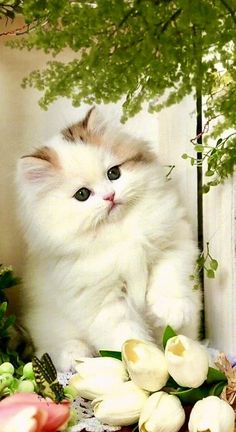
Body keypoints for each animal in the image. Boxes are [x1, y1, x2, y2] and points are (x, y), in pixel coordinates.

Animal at [16, 107, 201, 372]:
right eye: (82, 194)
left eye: (114, 173)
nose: (110, 196)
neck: (121, 232)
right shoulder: (103, 300)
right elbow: (126, 336)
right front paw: (145, 364)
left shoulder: (174, 243)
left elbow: (169, 278)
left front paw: (171, 312)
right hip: (48, 323)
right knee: (55, 346)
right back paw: (73, 356)